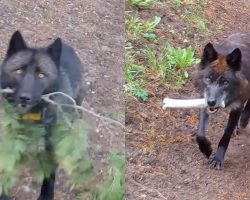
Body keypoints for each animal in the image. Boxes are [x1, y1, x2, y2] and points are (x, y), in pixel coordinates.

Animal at [0, 31, 85, 200]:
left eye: (41, 75)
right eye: (19, 71)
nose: (24, 98)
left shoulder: (51, 148)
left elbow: (50, 174)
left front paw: (46, 195)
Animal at [196, 33, 250, 170]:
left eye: (225, 82)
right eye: (208, 78)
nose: (211, 102)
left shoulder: (237, 106)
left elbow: (226, 135)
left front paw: (218, 158)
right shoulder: (204, 101)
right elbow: (200, 133)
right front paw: (206, 149)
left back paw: (243, 121)